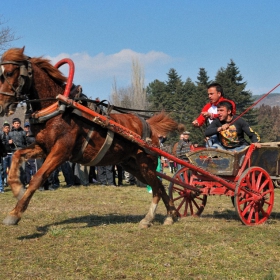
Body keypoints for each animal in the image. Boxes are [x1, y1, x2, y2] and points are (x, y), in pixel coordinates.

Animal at [0, 47, 182, 228]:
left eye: (8, 73)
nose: (2, 105)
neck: (58, 108)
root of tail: (148, 125)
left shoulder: (61, 151)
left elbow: (38, 177)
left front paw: (15, 213)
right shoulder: (43, 147)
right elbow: (17, 155)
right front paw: (17, 188)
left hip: (145, 163)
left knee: (157, 188)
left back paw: (149, 218)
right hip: (131, 165)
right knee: (159, 185)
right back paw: (171, 215)